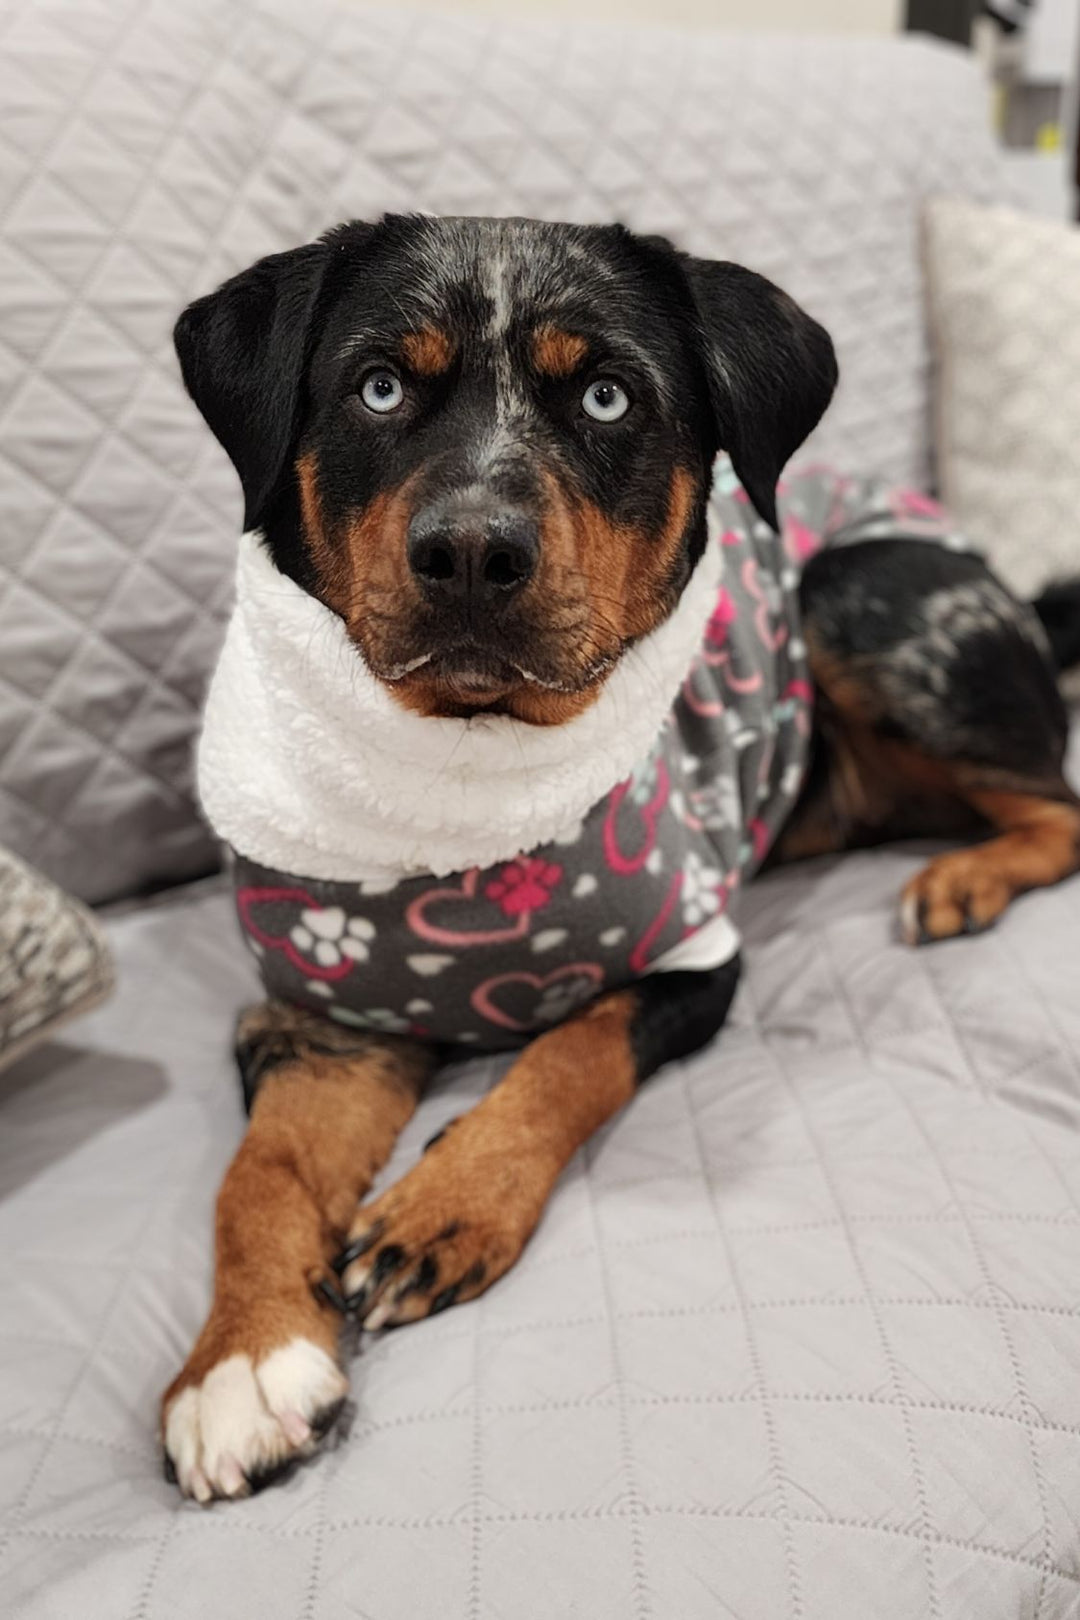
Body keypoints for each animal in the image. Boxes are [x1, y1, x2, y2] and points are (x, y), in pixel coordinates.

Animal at [162, 215, 1080, 1503]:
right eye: (378, 387)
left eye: (607, 396)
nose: (471, 551)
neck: (470, 781)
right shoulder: (317, 1017)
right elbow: (258, 1173)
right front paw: (238, 1361)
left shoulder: (695, 953)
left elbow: (573, 1050)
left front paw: (447, 1205)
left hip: (855, 591)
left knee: (1059, 806)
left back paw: (960, 880)